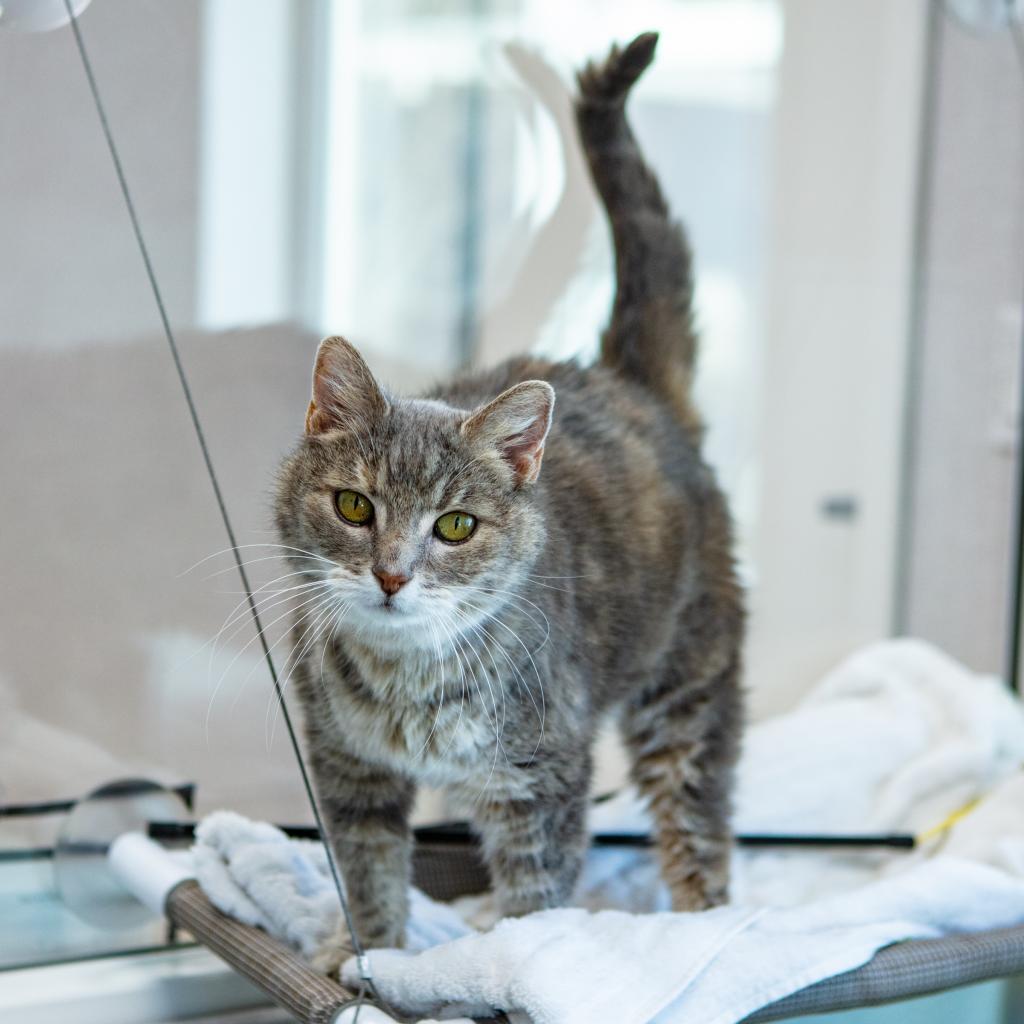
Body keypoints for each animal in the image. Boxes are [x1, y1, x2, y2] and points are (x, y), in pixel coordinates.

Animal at [276, 32, 745, 958]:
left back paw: (704, 918)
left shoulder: (540, 779)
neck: (406, 679)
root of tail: (631, 381)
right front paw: (371, 956)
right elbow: (369, 873)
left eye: (456, 526)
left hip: (689, 694)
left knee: (698, 828)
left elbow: (538, 891)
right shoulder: (351, 772)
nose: (392, 575)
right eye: (355, 507)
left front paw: (519, 962)